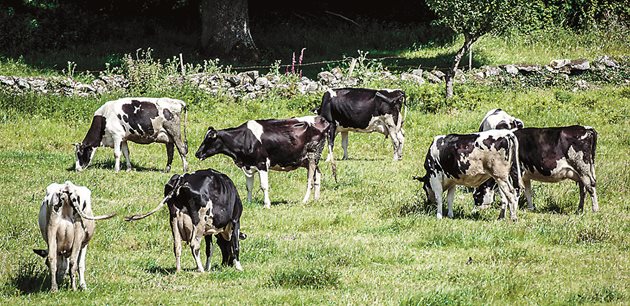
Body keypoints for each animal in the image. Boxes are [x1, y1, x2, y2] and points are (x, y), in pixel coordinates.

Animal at [195, 115, 334, 208]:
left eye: (209, 139)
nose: (197, 153)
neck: (244, 138)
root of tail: (322, 119)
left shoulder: (262, 164)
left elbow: (264, 186)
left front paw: (267, 204)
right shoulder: (248, 165)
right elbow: (249, 187)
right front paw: (249, 202)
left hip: (313, 155)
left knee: (310, 179)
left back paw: (305, 200)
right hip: (305, 160)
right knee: (318, 175)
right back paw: (316, 199)